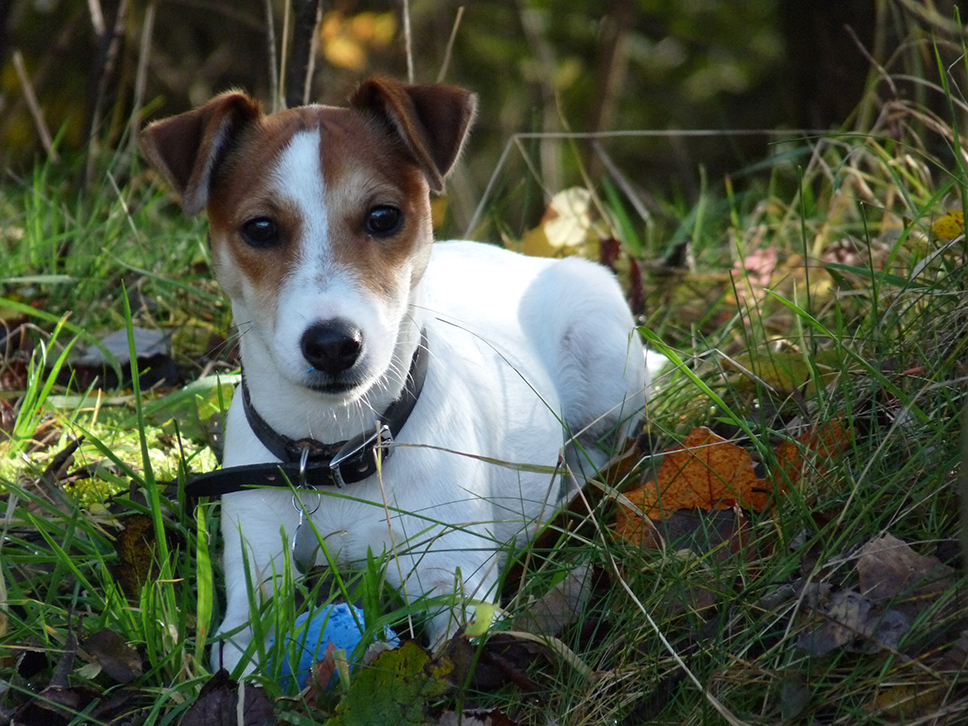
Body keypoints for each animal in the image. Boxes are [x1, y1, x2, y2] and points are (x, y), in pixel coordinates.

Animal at [138, 77, 652, 672]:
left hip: (605, 361)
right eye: (260, 228)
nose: (333, 344)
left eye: (382, 217)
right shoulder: (255, 565)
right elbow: (241, 650)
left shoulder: (456, 581)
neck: (335, 454)